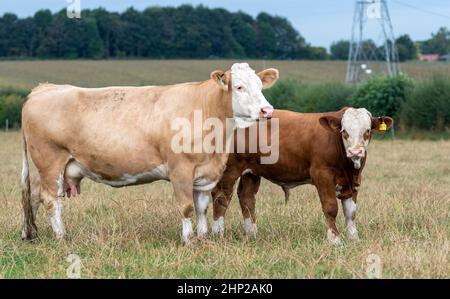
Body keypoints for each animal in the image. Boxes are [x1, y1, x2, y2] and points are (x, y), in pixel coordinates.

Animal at [22, 62, 280, 245]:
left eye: (260, 86)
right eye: (239, 87)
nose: (267, 110)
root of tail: (44, 88)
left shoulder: (204, 173)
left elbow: (201, 207)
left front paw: (203, 238)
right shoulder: (181, 170)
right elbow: (186, 207)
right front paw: (188, 240)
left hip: (42, 168)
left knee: (32, 196)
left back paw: (30, 233)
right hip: (50, 162)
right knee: (50, 200)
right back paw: (61, 237)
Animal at [213, 109, 392, 245]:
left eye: (367, 131)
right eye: (344, 131)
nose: (355, 151)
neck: (348, 168)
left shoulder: (353, 182)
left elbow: (350, 212)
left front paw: (354, 238)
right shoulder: (322, 175)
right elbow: (331, 208)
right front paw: (335, 240)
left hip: (252, 171)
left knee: (247, 198)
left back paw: (252, 235)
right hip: (229, 169)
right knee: (221, 197)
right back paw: (218, 235)